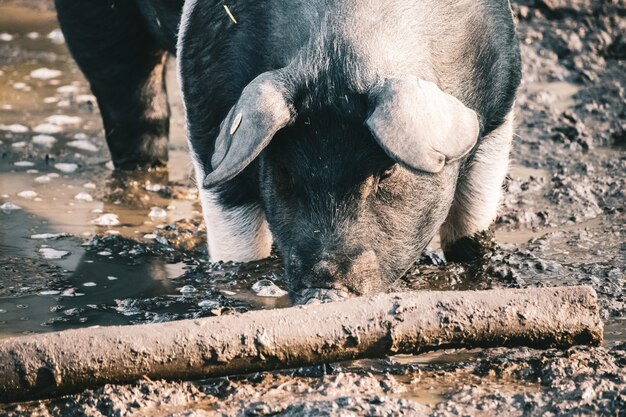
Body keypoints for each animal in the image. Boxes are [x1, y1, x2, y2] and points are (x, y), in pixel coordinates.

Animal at [56, 0, 520, 296]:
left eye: (386, 171)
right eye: (283, 169)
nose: (326, 289)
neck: (339, 49)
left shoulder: (498, 115)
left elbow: (474, 217)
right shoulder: (209, 120)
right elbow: (236, 235)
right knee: (130, 101)